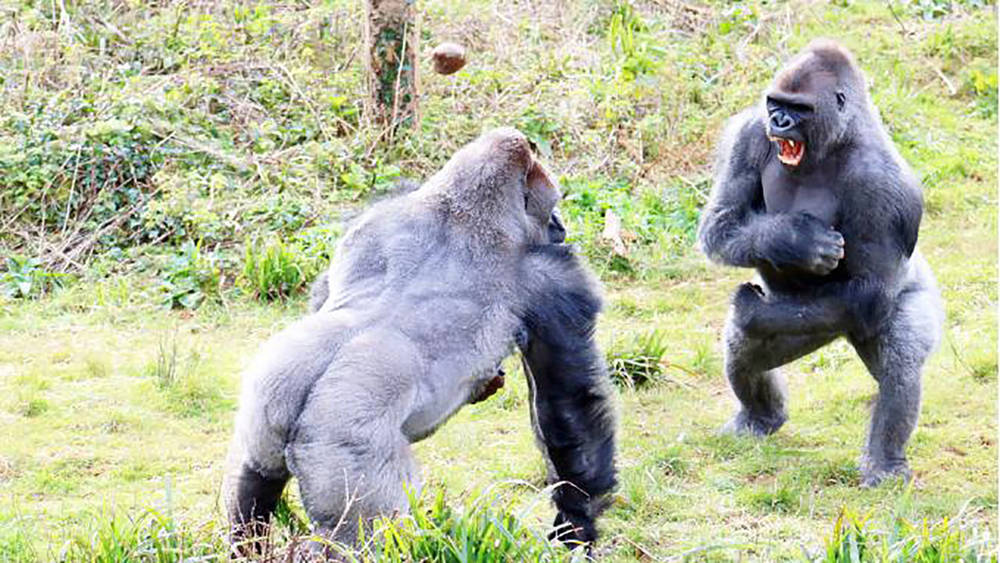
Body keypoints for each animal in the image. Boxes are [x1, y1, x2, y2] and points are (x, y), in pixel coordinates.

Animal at [225, 129, 616, 556]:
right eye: (553, 206)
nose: (560, 226)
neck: (463, 208)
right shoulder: (550, 279)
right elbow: (568, 404)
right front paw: (576, 525)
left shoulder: (379, 213)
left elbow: (323, 291)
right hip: (344, 456)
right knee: (365, 537)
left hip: (261, 417)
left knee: (250, 485)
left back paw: (244, 540)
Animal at [696, 40, 944, 490]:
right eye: (775, 103)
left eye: (800, 109)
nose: (778, 121)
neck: (836, 140)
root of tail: (840, 336)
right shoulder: (749, 132)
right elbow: (721, 222)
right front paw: (793, 239)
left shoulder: (882, 185)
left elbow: (869, 290)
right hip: (803, 321)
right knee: (747, 343)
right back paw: (759, 417)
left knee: (899, 363)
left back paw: (885, 462)